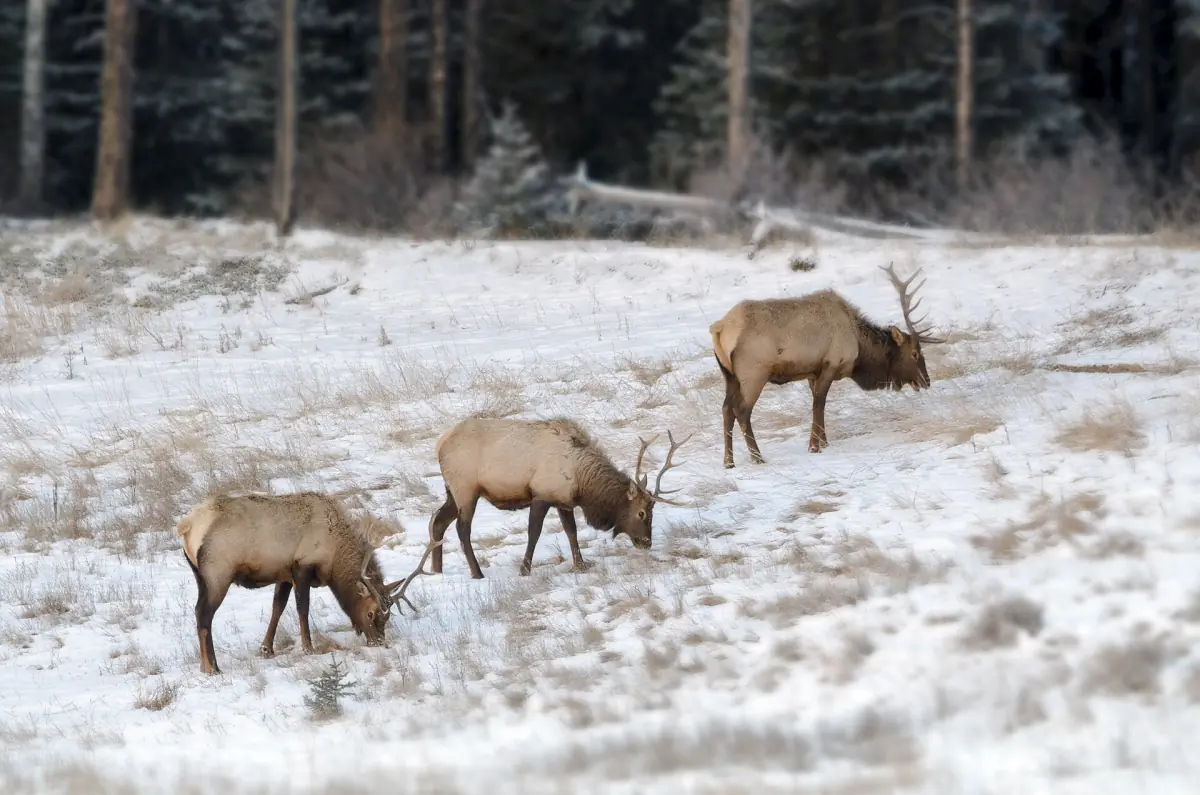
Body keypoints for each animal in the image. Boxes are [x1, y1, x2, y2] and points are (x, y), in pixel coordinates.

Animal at [176, 491, 440, 675]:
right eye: (371, 613)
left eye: (388, 617)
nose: (379, 643)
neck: (334, 557)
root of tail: (186, 527)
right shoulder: (302, 566)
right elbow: (302, 609)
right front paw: (308, 647)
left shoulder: (284, 573)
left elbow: (277, 608)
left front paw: (266, 649)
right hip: (217, 574)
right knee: (203, 614)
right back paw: (212, 667)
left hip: (200, 575)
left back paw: (205, 665)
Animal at [424, 417, 690, 579]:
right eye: (642, 512)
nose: (647, 542)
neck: (581, 480)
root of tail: (439, 444)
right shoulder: (541, 494)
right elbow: (534, 533)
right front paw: (524, 569)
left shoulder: (563, 501)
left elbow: (571, 532)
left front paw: (580, 565)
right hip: (465, 489)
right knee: (462, 529)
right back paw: (477, 572)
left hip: (452, 491)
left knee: (438, 521)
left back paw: (437, 570)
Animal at [710, 263, 945, 468]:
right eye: (914, 353)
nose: (926, 381)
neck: (859, 348)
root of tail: (719, 329)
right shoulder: (831, 363)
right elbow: (819, 404)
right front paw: (815, 446)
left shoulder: (813, 372)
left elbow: (818, 406)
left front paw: (823, 442)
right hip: (754, 373)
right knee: (742, 410)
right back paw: (757, 457)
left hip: (730, 375)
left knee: (726, 409)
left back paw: (728, 461)